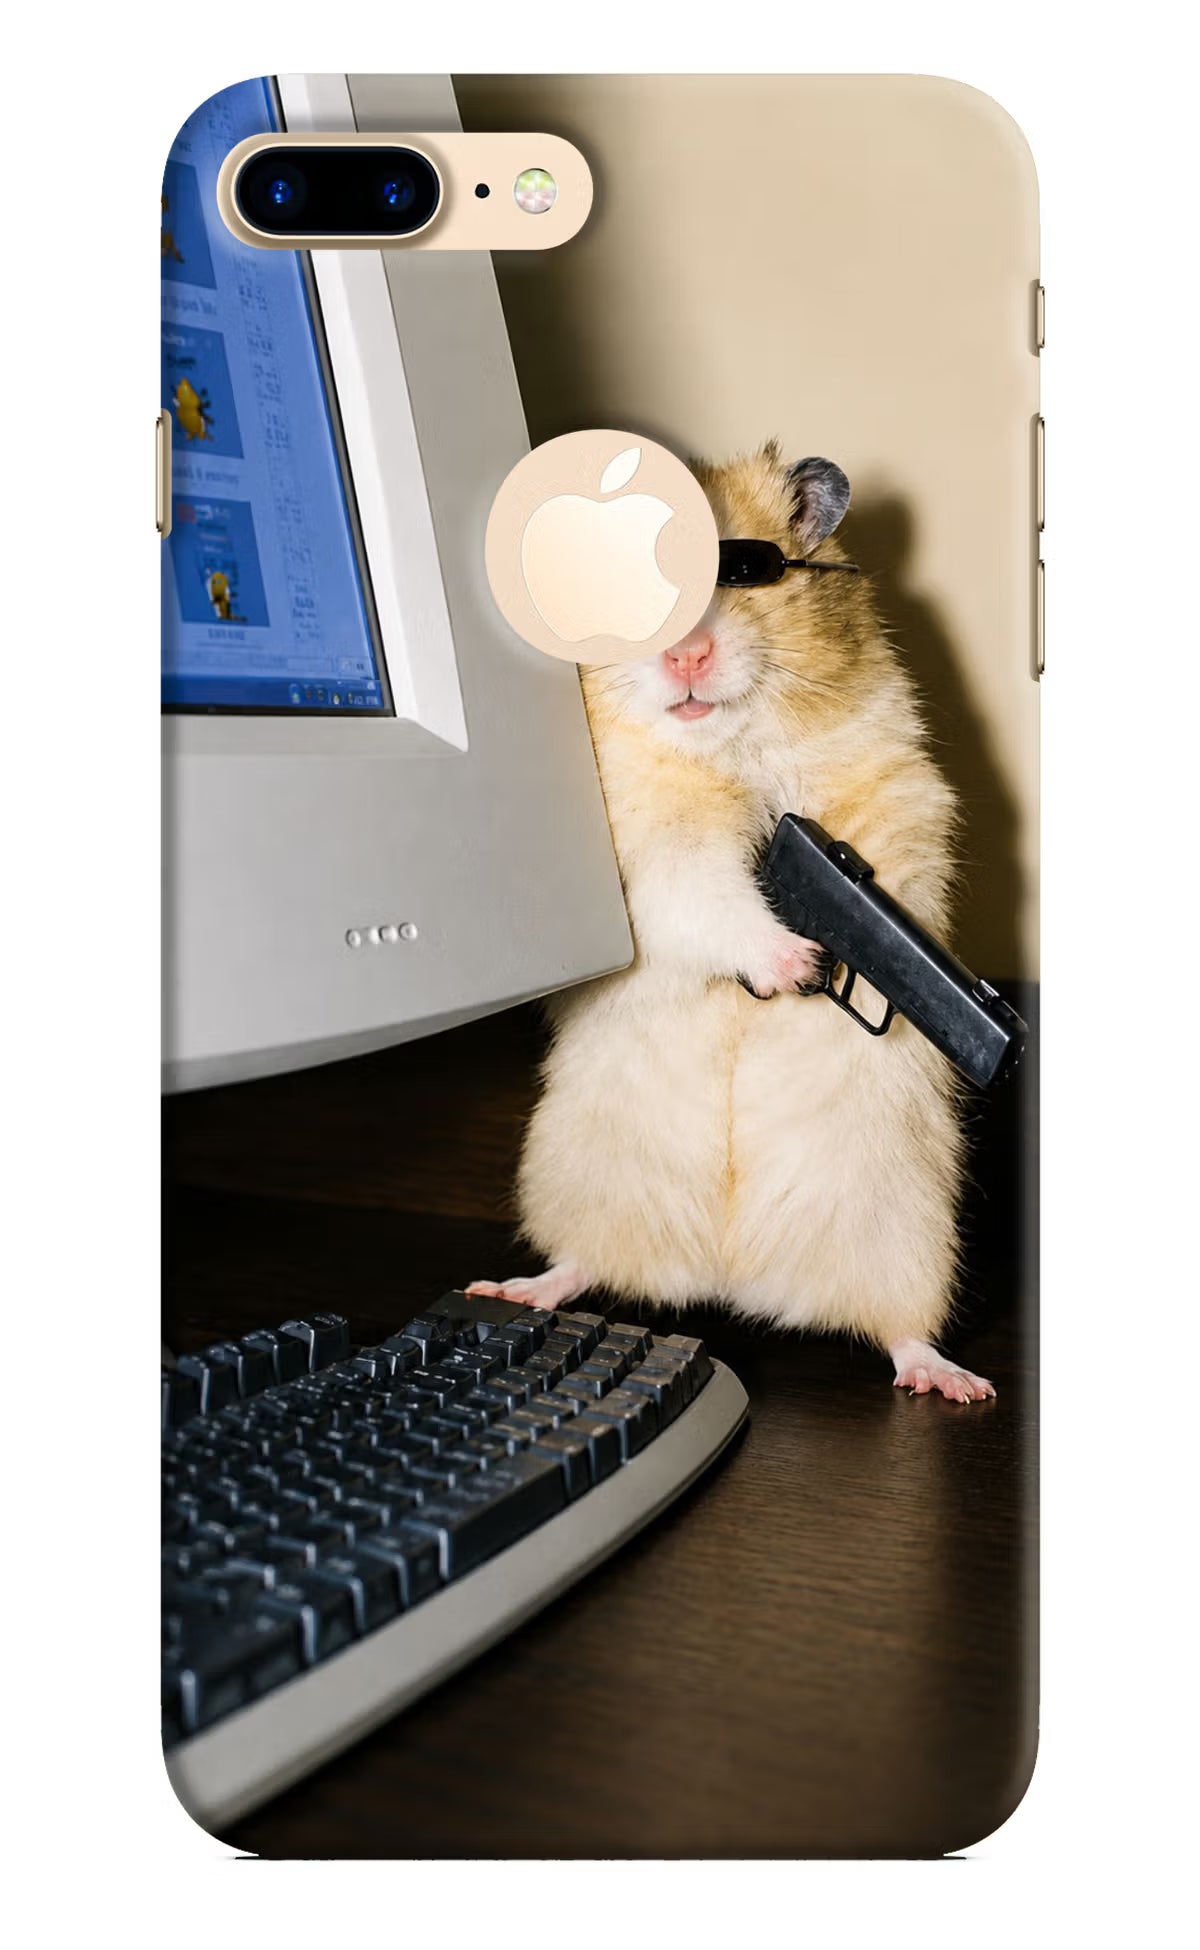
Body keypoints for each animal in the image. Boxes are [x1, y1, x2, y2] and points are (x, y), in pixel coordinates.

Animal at [469, 444, 993, 1403]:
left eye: (745, 575)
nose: (687, 656)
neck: (729, 745)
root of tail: (730, 1277)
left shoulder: (896, 792)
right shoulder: (651, 854)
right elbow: (709, 897)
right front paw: (797, 964)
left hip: (907, 1229)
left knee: (900, 1330)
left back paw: (954, 1382)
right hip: (579, 1177)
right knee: (581, 1263)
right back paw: (514, 1288)